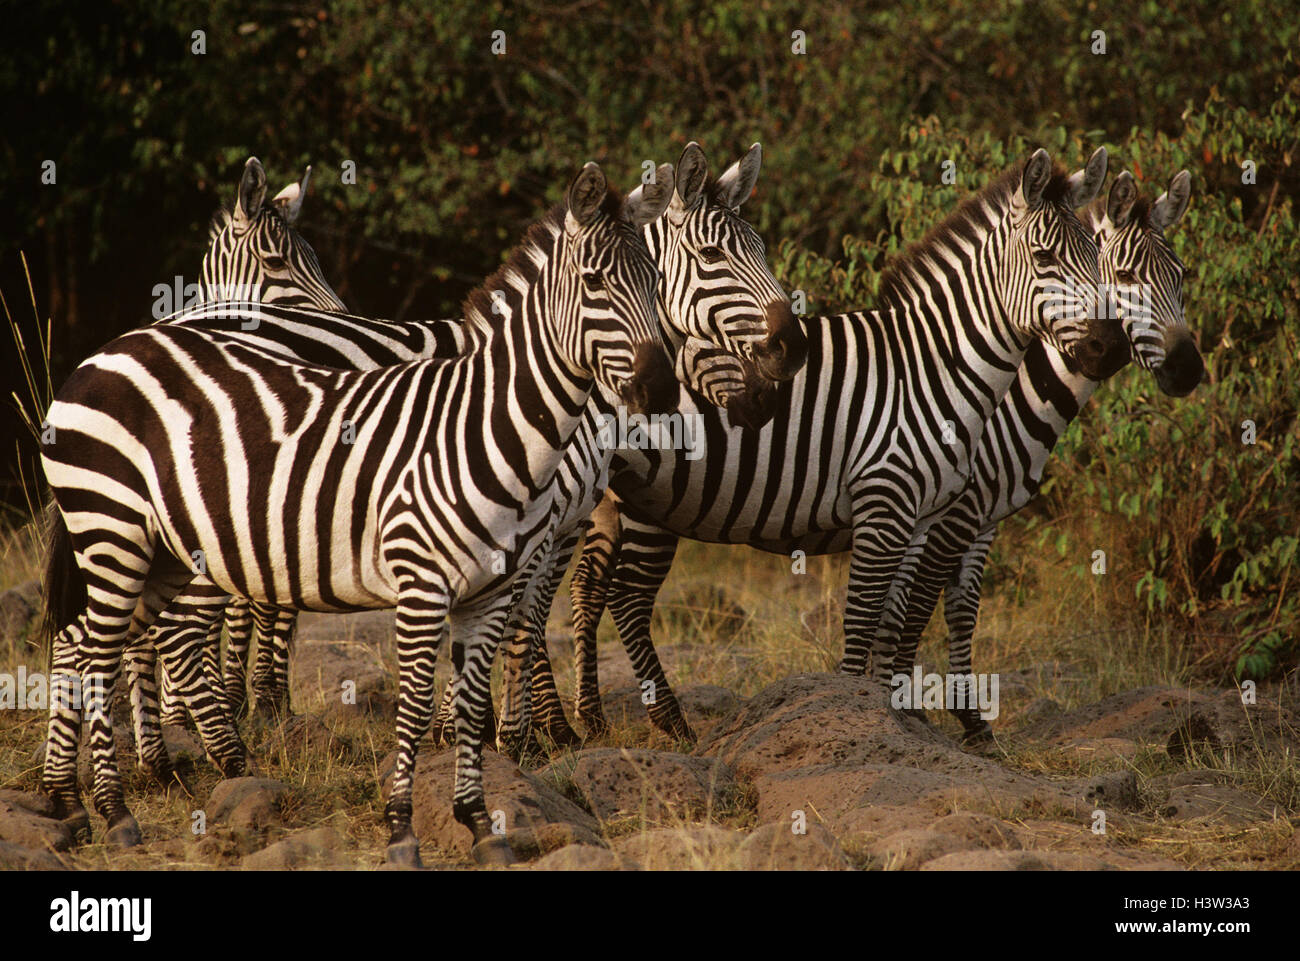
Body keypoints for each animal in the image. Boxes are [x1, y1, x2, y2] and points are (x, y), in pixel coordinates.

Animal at [509, 148, 1128, 743]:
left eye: (1099, 258)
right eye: (1045, 258)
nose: (1112, 346)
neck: (937, 367)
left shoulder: (924, 517)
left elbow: (900, 619)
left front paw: (906, 717)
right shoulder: (895, 506)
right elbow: (869, 620)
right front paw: (865, 718)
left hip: (607, 500)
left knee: (579, 591)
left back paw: (579, 721)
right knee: (582, 598)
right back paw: (572, 729)